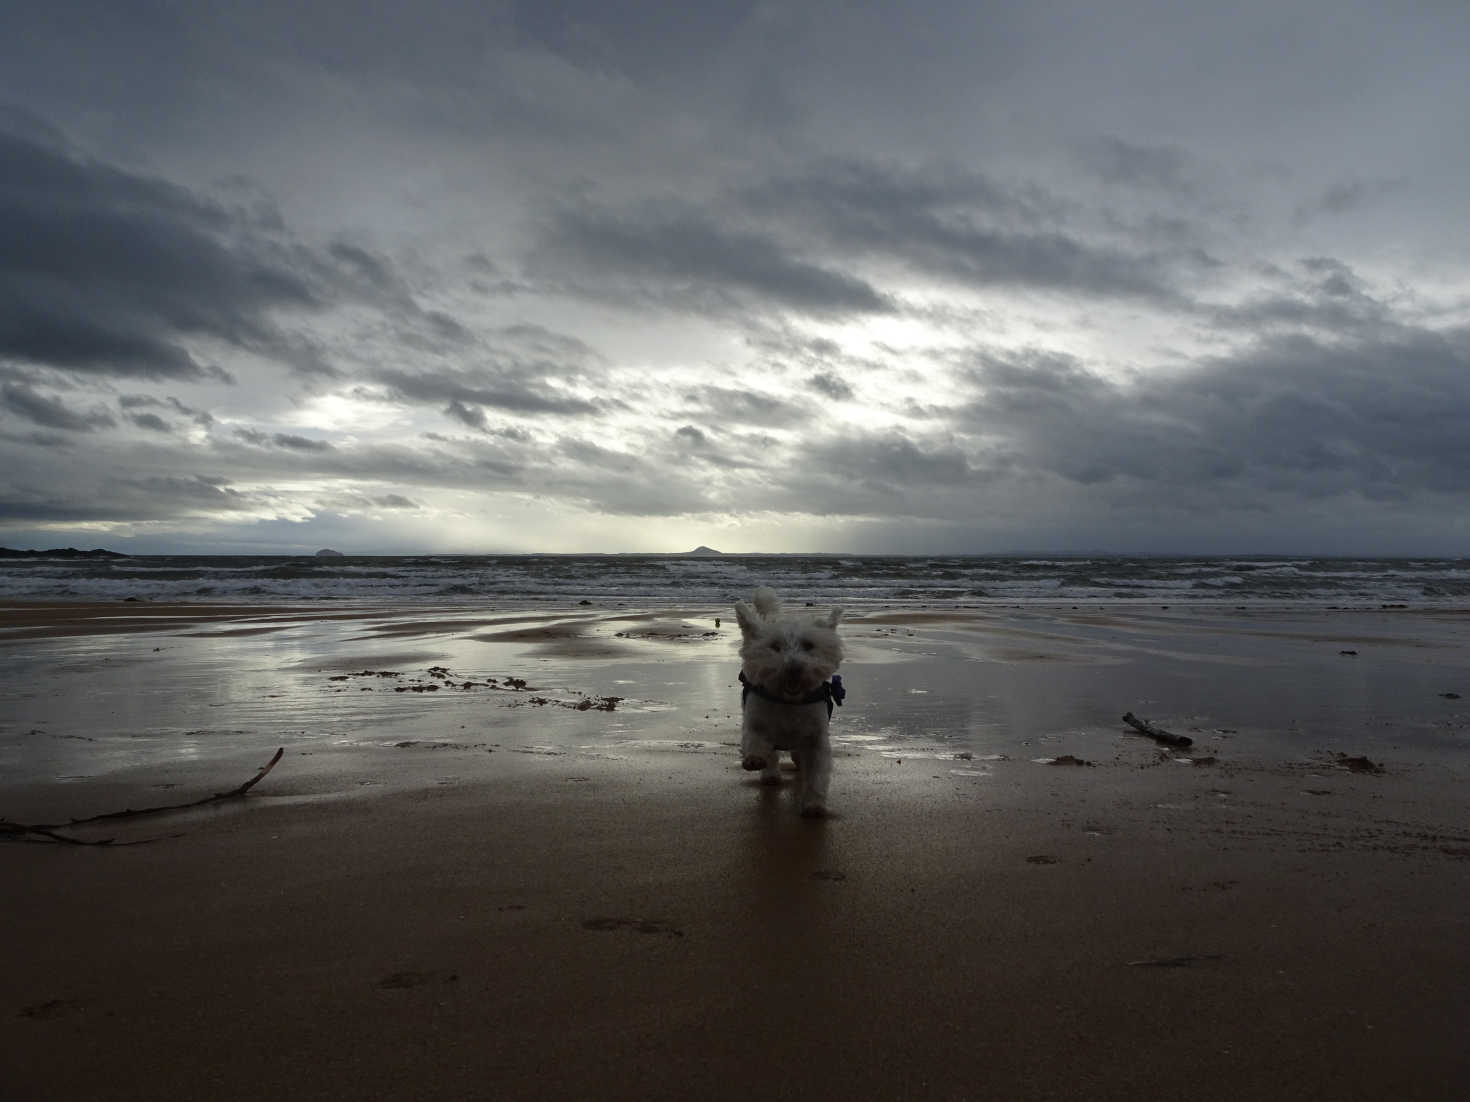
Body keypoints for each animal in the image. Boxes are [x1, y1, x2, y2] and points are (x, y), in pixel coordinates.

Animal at [732, 590, 846, 816]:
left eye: (809, 645)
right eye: (775, 647)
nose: (794, 668)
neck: (789, 702)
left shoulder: (816, 738)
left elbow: (817, 772)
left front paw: (814, 805)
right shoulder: (755, 721)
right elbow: (755, 740)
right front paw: (755, 759)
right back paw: (771, 775)